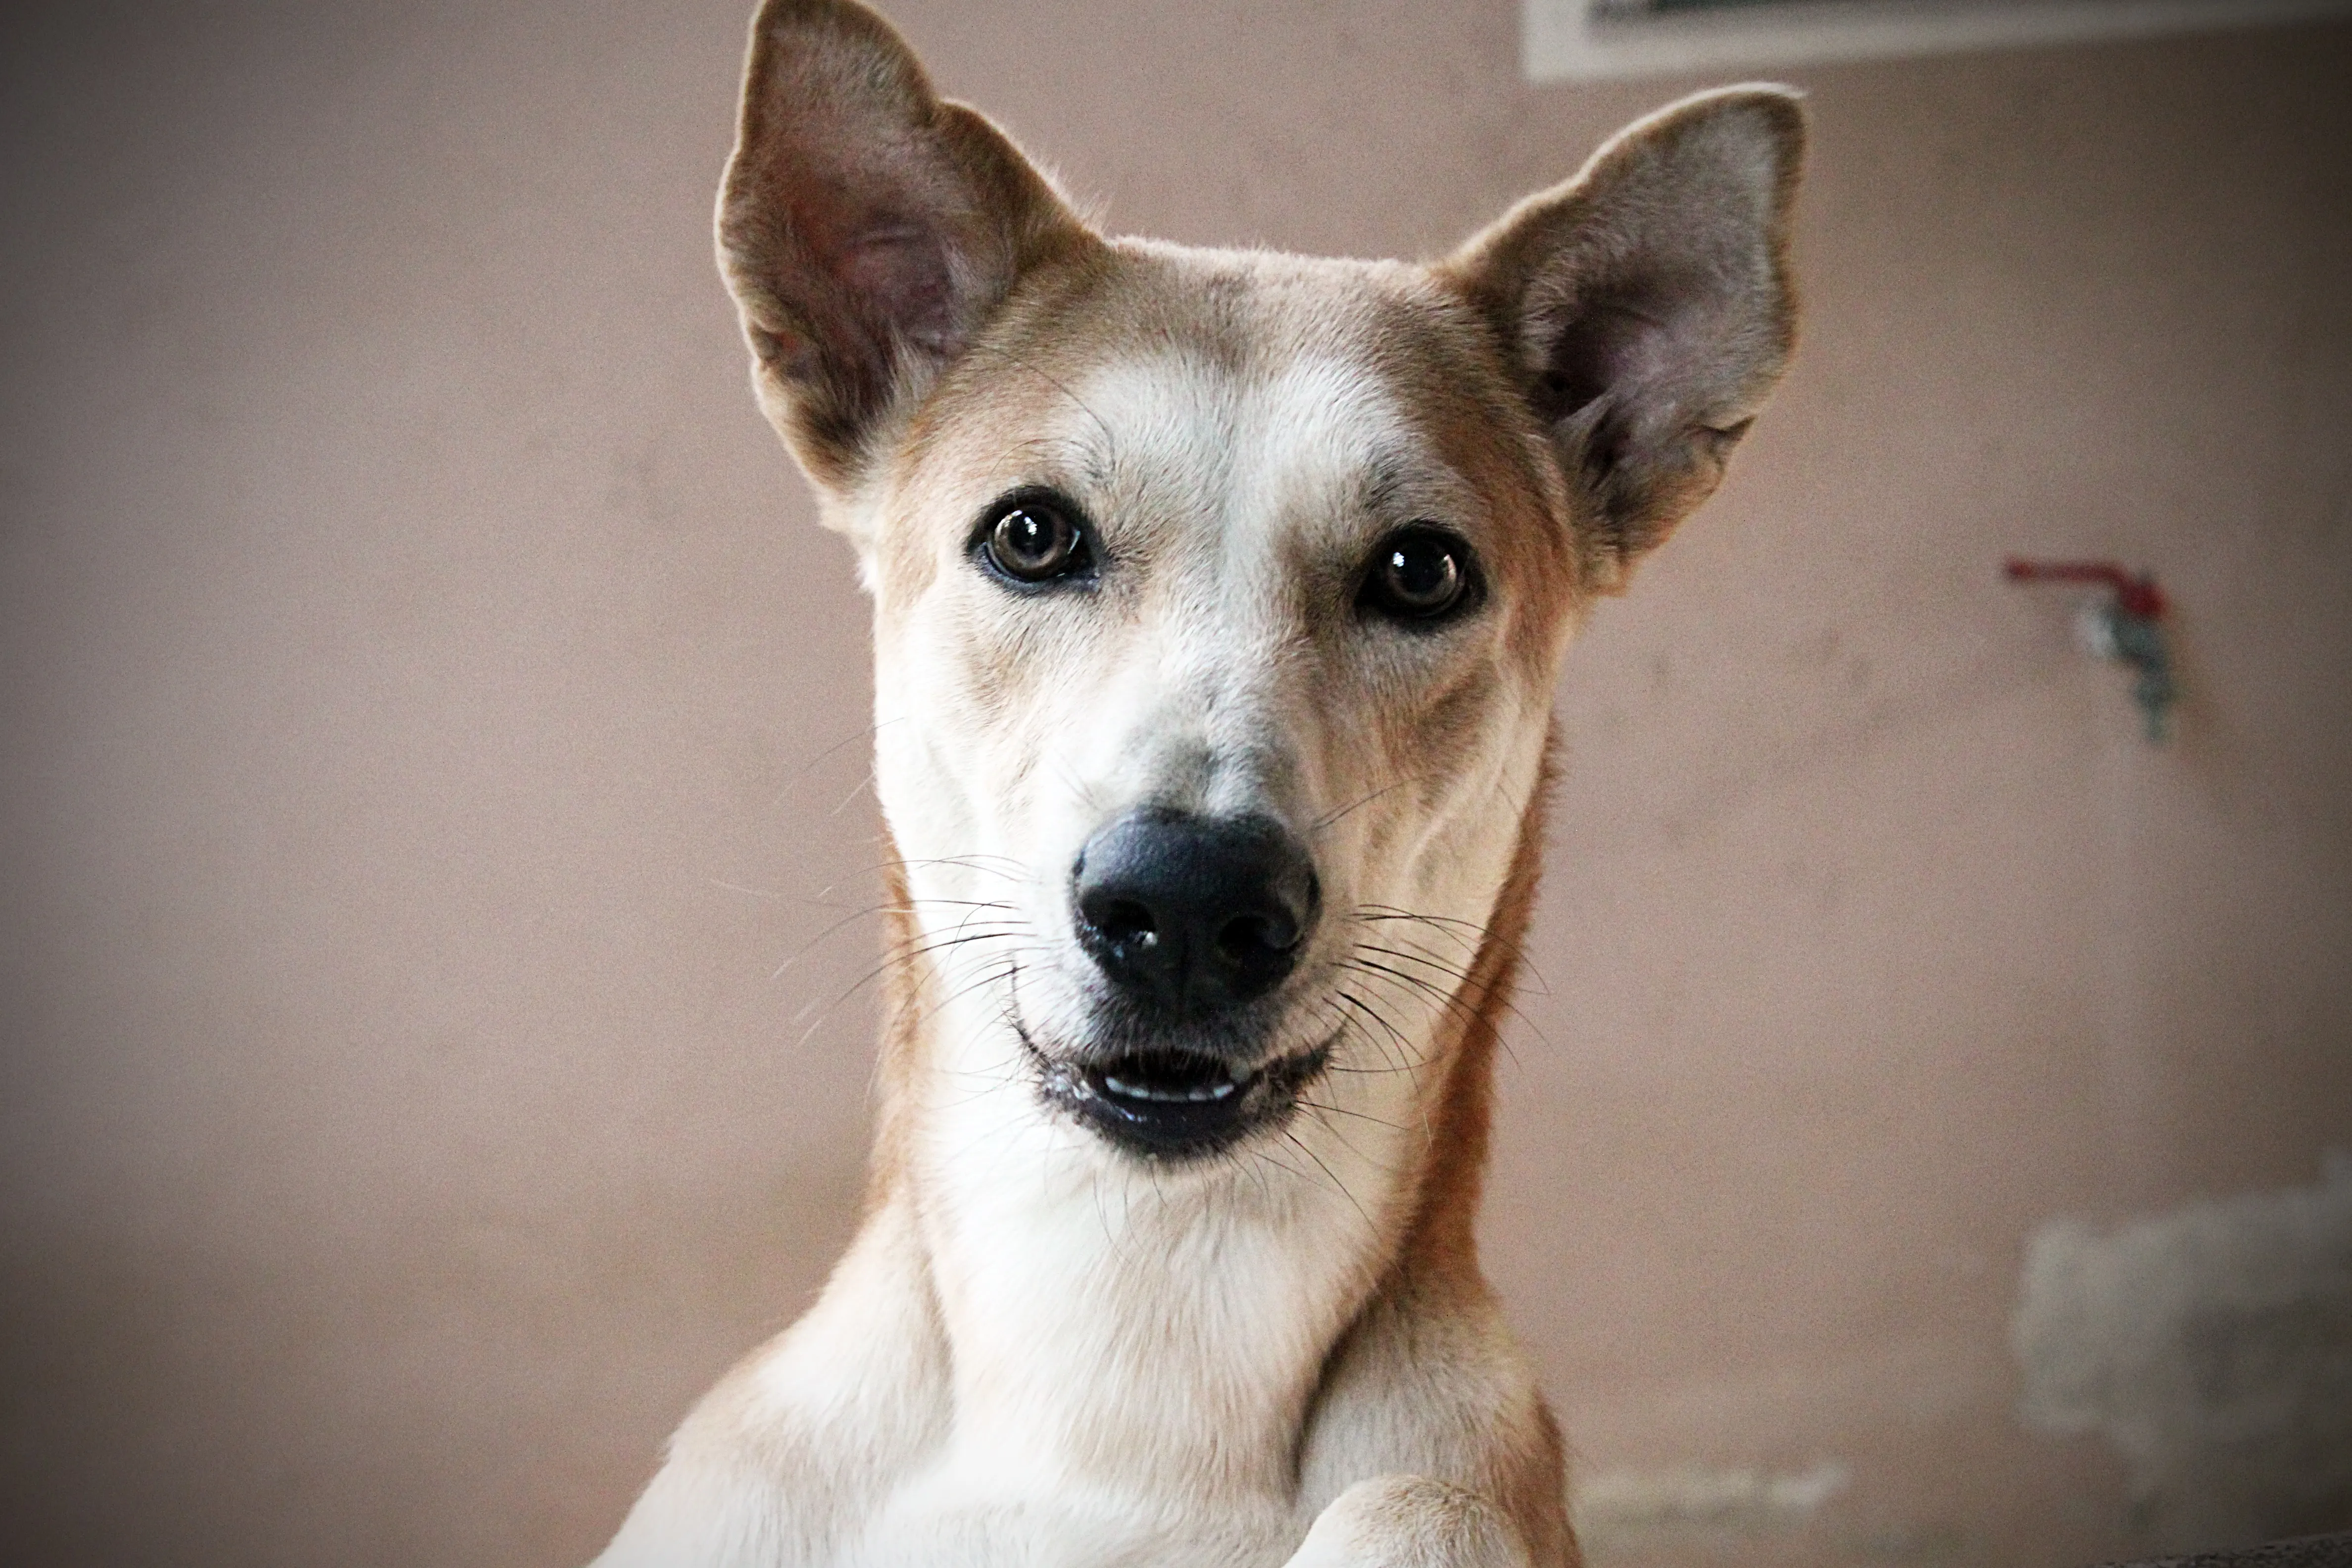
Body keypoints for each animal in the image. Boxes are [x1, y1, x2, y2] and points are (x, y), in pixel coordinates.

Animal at [588, 6, 1797, 1561]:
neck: (1114, 1371)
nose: (1186, 903)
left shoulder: (1437, 1483)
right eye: (1030, 535)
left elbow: (1413, 1506)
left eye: (1421, 569)